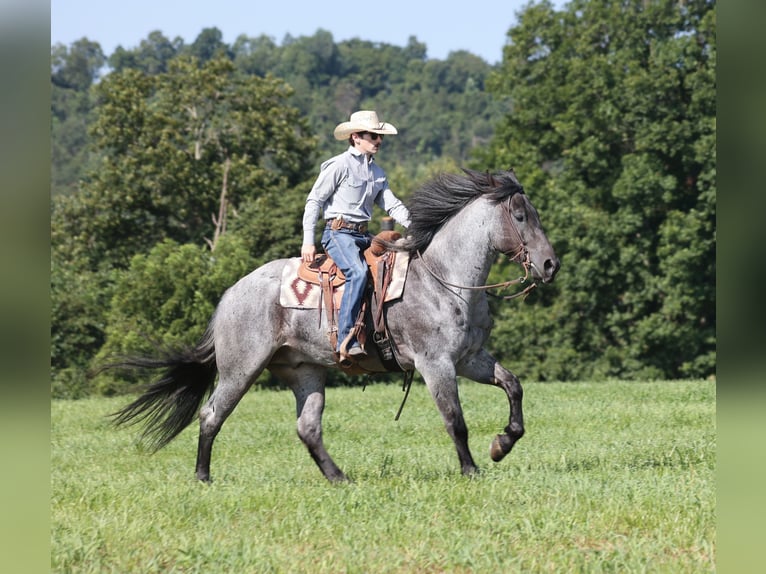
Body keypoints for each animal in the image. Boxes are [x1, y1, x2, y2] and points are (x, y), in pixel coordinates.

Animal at [111, 168, 560, 482]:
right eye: (520, 215)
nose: (550, 265)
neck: (442, 278)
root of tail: (229, 296)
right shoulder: (436, 365)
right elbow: (456, 420)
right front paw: (471, 469)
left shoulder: (470, 358)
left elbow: (513, 385)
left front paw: (502, 443)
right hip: (241, 369)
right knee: (211, 415)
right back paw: (203, 477)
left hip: (304, 371)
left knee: (307, 428)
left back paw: (339, 478)